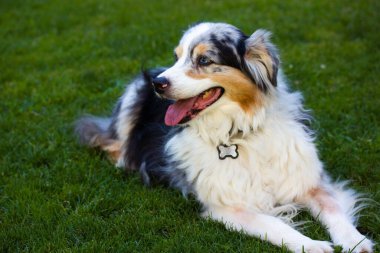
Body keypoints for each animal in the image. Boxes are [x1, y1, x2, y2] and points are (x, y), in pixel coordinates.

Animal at [75, 22, 374, 252]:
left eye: (204, 60)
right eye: (176, 57)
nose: (158, 83)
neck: (239, 132)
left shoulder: (307, 182)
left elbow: (333, 209)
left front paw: (356, 241)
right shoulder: (225, 206)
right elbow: (273, 223)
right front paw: (312, 245)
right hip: (131, 98)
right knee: (113, 142)